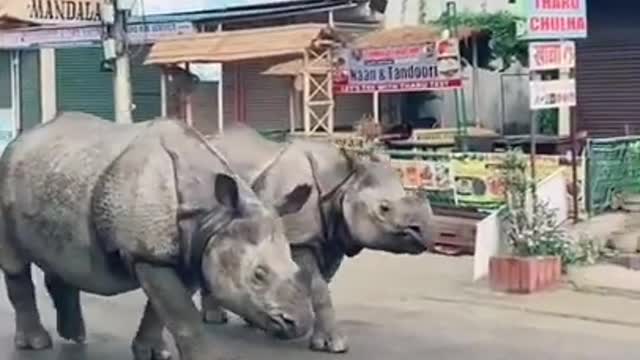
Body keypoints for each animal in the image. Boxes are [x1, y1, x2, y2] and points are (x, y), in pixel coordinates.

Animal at [0, 113, 316, 360]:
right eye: (258, 275)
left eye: (296, 267)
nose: (299, 324)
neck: (214, 216)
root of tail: (21, 138)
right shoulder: (148, 255)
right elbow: (182, 314)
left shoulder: (190, 252)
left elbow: (161, 311)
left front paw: (153, 353)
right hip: (6, 173)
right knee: (16, 262)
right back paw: (37, 344)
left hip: (58, 170)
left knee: (60, 252)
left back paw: (74, 336)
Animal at [201, 123, 436, 352]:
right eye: (384, 208)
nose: (428, 235)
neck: (342, 182)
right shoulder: (299, 239)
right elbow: (318, 288)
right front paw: (333, 345)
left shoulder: (332, 239)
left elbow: (319, 284)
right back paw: (214, 319)